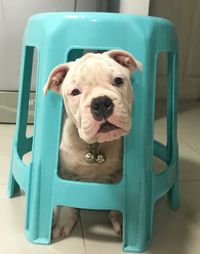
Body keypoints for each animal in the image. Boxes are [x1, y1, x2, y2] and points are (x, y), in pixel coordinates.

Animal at [43, 50, 142, 240]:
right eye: (75, 92)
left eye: (118, 81)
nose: (101, 102)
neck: (96, 146)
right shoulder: (65, 173)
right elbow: (66, 199)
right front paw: (63, 221)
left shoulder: (119, 174)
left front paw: (120, 219)